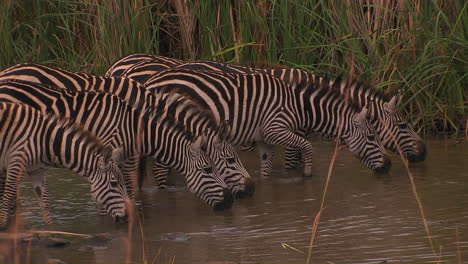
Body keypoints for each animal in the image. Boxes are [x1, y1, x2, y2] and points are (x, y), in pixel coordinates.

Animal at [0, 101, 128, 229]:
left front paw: (51, 230)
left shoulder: (37, 171)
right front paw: (2, 226)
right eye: (114, 183)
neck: (48, 141)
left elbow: (45, 202)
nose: (127, 217)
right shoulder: (16, 162)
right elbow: (7, 197)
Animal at [143, 69, 392, 177]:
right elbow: (307, 146)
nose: (389, 166)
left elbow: (266, 168)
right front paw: (308, 174)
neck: (300, 105)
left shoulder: (264, 139)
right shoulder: (276, 129)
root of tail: (151, 81)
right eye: (372, 137)